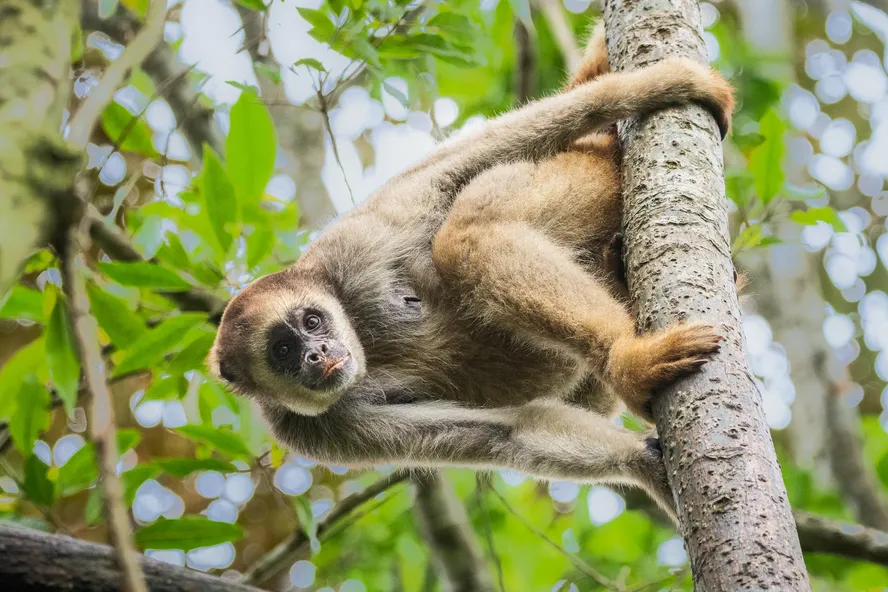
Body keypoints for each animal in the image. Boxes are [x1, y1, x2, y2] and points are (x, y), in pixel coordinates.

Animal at [208, 22, 736, 524]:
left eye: (312, 322)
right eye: (282, 351)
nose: (316, 353)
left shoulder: (352, 249)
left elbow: (463, 164)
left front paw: (657, 85)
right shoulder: (313, 430)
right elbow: (515, 429)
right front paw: (642, 464)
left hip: (586, 171)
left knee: (465, 234)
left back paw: (626, 358)